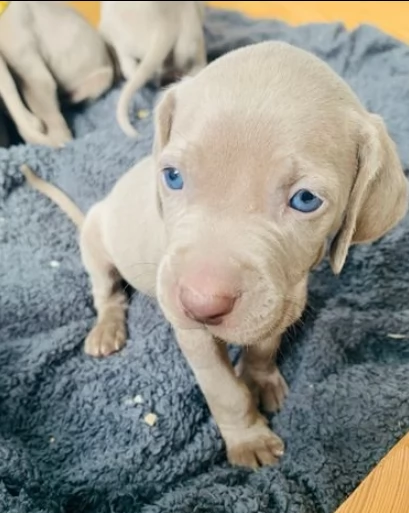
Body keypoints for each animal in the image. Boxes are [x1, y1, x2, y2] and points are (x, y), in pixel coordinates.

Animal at [21, 41, 404, 468]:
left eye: (305, 200)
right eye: (172, 176)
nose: (201, 304)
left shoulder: (280, 301)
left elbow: (264, 345)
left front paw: (260, 379)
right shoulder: (193, 334)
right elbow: (224, 390)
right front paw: (249, 438)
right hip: (97, 242)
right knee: (107, 292)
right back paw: (107, 328)